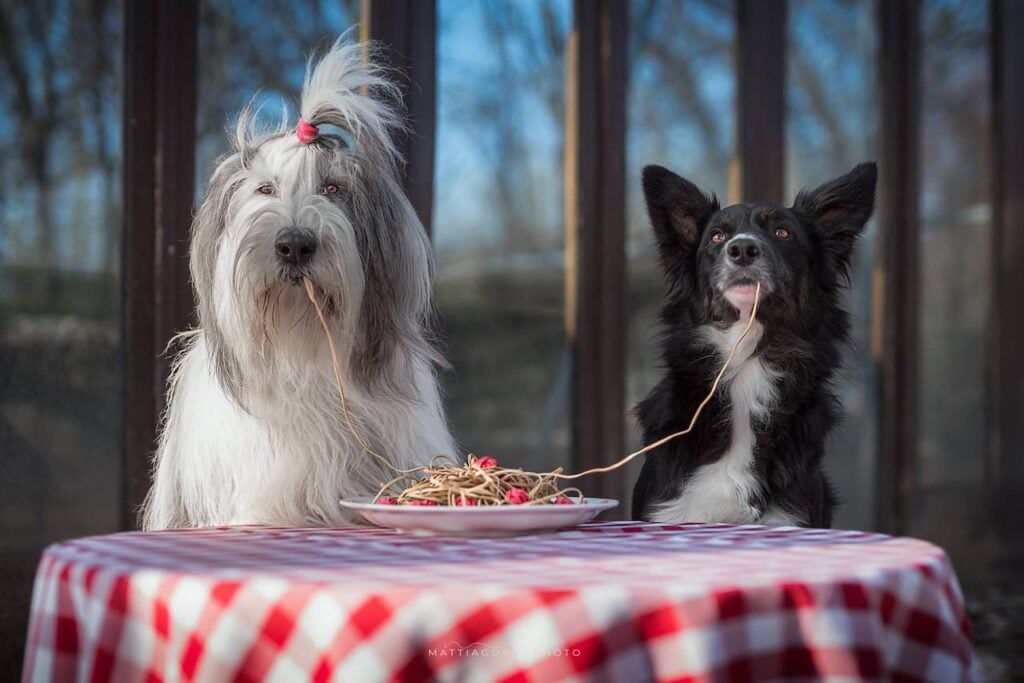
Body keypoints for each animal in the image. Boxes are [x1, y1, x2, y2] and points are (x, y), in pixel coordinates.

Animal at [626, 162, 876, 528]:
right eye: (717, 237)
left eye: (783, 233)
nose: (742, 249)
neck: (746, 360)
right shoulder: (666, 510)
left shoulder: (790, 517)